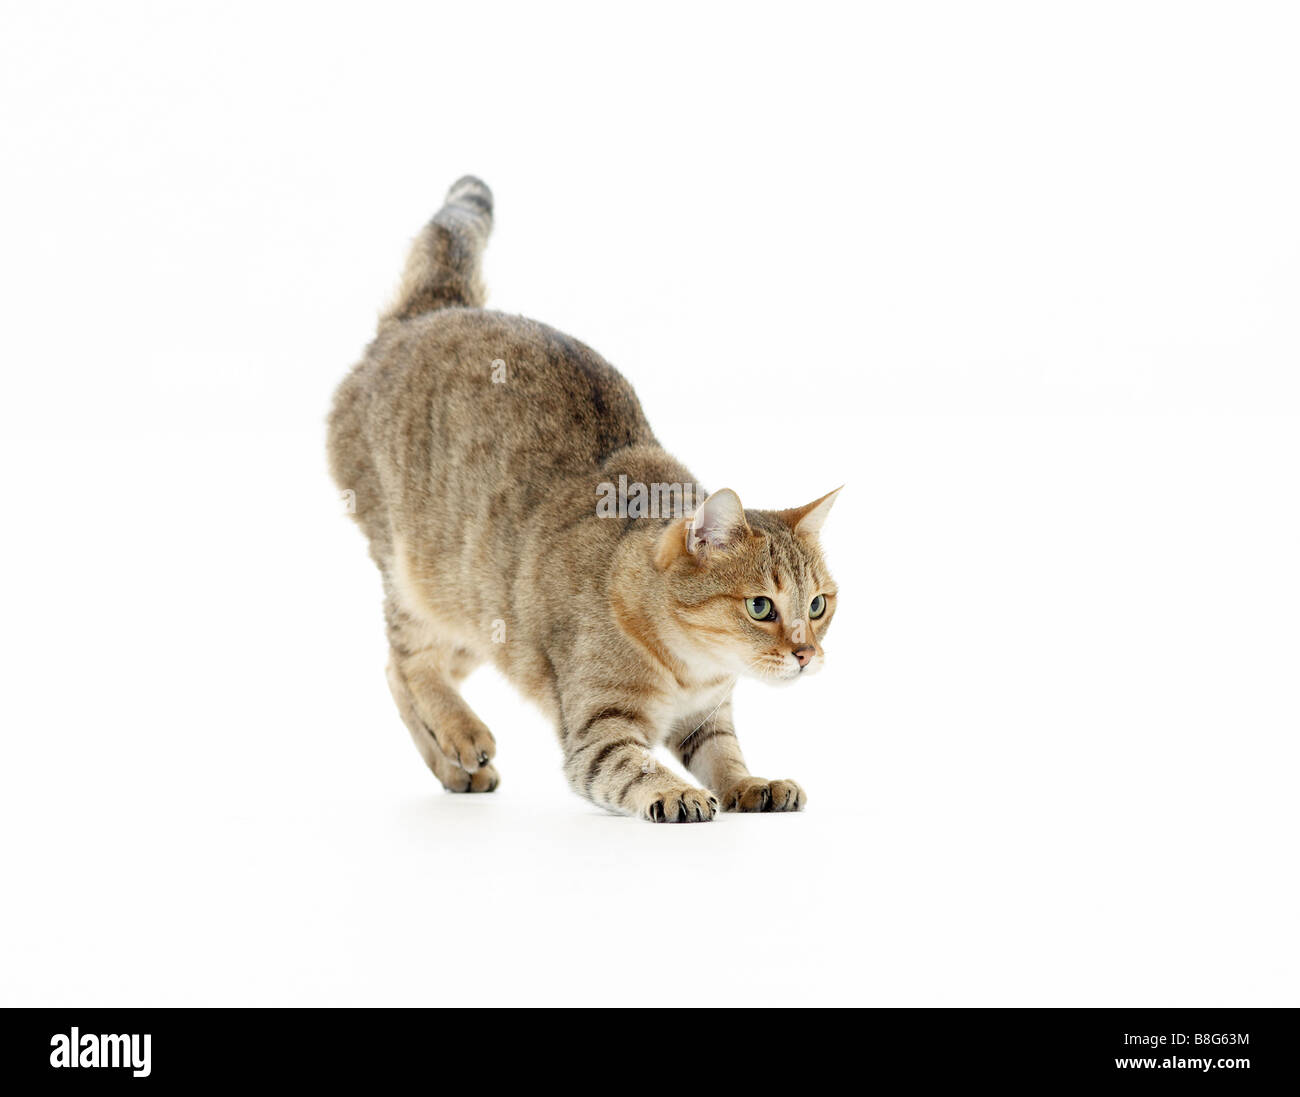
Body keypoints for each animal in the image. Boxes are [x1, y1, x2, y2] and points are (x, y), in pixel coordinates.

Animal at [327, 175, 842, 816]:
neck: (691, 669)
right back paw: (463, 734)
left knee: (398, 672)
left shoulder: (708, 718)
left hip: (486, 621)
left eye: (817, 605)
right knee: (408, 660)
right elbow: (635, 766)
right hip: (422, 579)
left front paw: (754, 784)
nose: (806, 653)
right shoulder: (596, 731)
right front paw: (678, 792)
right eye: (761, 607)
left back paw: (455, 768)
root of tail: (438, 307)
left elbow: (725, 757)